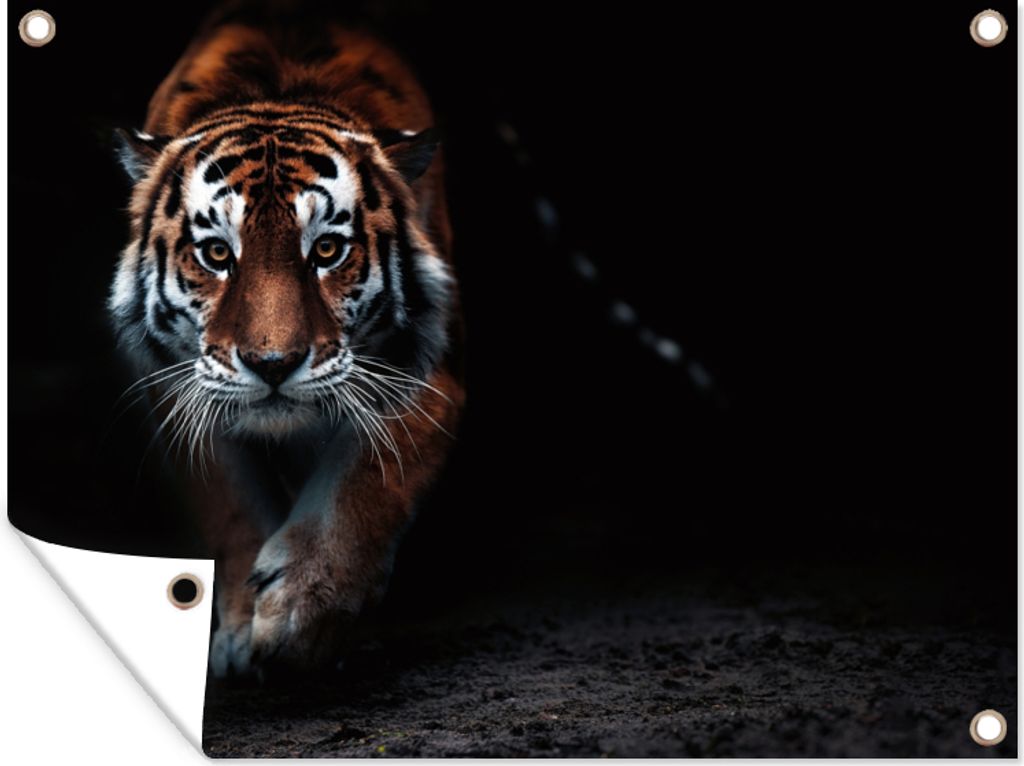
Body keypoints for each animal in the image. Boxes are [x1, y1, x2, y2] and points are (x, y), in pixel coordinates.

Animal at [109, 3, 465, 678]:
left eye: (326, 250)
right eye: (218, 254)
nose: (272, 364)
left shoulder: (428, 372)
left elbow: (367, 481)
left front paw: (302, 612)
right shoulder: (175, 387)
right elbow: (230, 505)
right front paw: (242, 634)